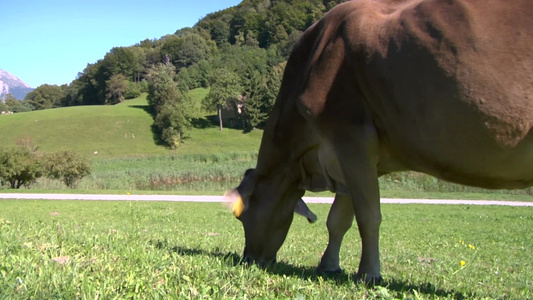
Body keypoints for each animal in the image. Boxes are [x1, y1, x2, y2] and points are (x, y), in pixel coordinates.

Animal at [225, 0, 532, 284]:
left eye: (241, 215)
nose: (248, 259)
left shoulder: (351, 137)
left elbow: (368, 216)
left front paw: (369, 273)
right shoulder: (342, 157)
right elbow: (338, 219)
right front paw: (329, 265)